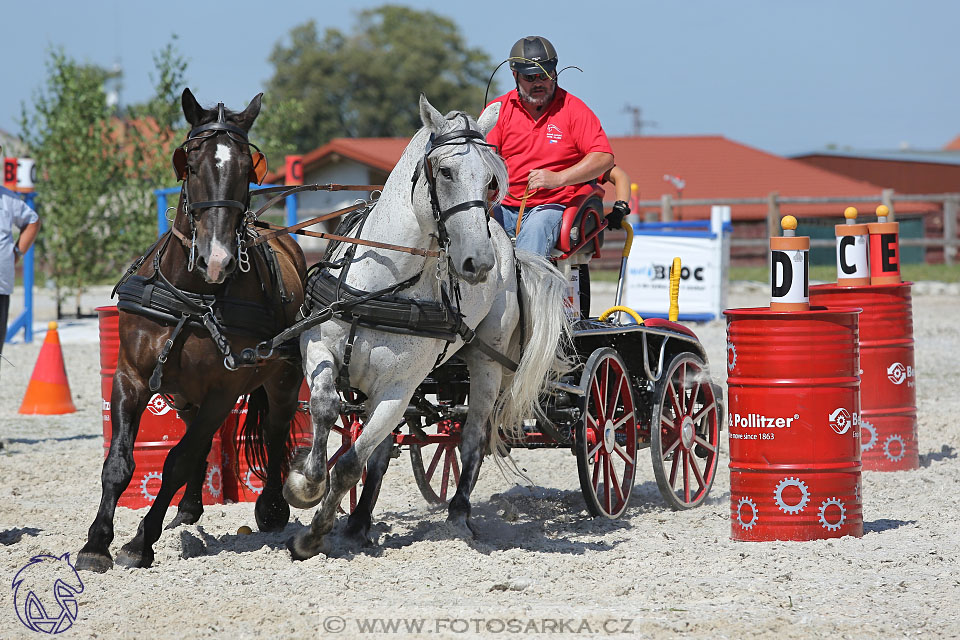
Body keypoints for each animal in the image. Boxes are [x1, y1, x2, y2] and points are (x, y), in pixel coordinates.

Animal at [76, 89, 306, 568]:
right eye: (192, 163)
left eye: (248, 169)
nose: (217, 259)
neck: (193, 296)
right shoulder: (129, 377)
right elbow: (119, 464)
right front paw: (96, 543)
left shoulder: (224, 390)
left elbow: (176, 462)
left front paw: (139, 542)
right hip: (183, 396)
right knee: (200, 441)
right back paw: (188, 508)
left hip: (281, 379)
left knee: (274, 431)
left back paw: (271, 506)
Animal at [284, 96, 568, 560]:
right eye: (446, 172)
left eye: (491, 179)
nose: (478, 263)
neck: (383, 286)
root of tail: (506, 243)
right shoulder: (319, 349)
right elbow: (327, 410)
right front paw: (303, 485)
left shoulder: (398, 389)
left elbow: (350, 464)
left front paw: (311, 536)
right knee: (382, 449)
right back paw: (358, 523)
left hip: (486, 364)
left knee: (471, 437)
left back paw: (458, 518)